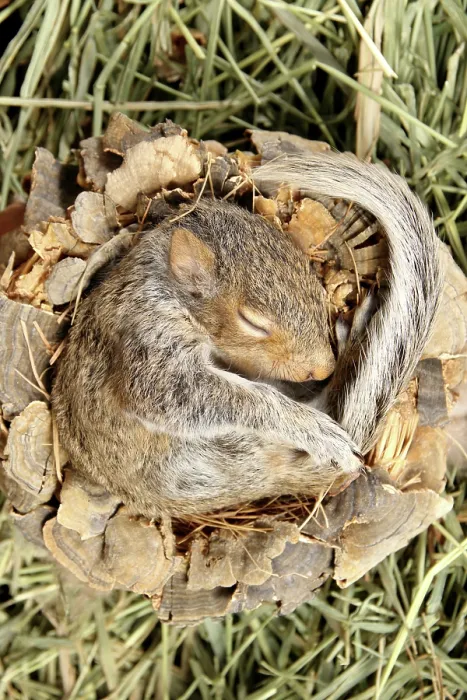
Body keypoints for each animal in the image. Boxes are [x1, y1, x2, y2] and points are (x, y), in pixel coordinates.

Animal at [51, 152, 442, 517]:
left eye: (313, 283)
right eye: (252, 322)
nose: (322, 367)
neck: (164, 288)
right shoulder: (146, 339)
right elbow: (193, 396)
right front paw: (312, 428)